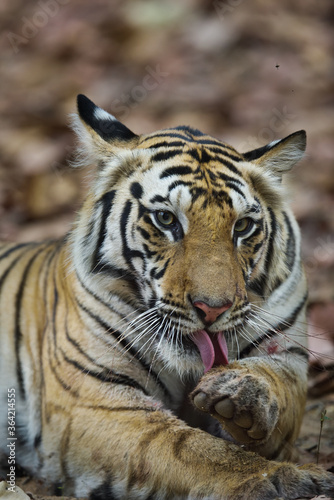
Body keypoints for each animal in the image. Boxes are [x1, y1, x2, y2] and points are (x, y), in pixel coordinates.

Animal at [0, 94, 334, 500]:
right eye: (166, 219)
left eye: (242, 226)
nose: (213, 308)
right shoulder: (93, 399)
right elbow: (189, 450)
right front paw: (278, 479)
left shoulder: (287, 357)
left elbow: (277, 388)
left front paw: (239, 393)